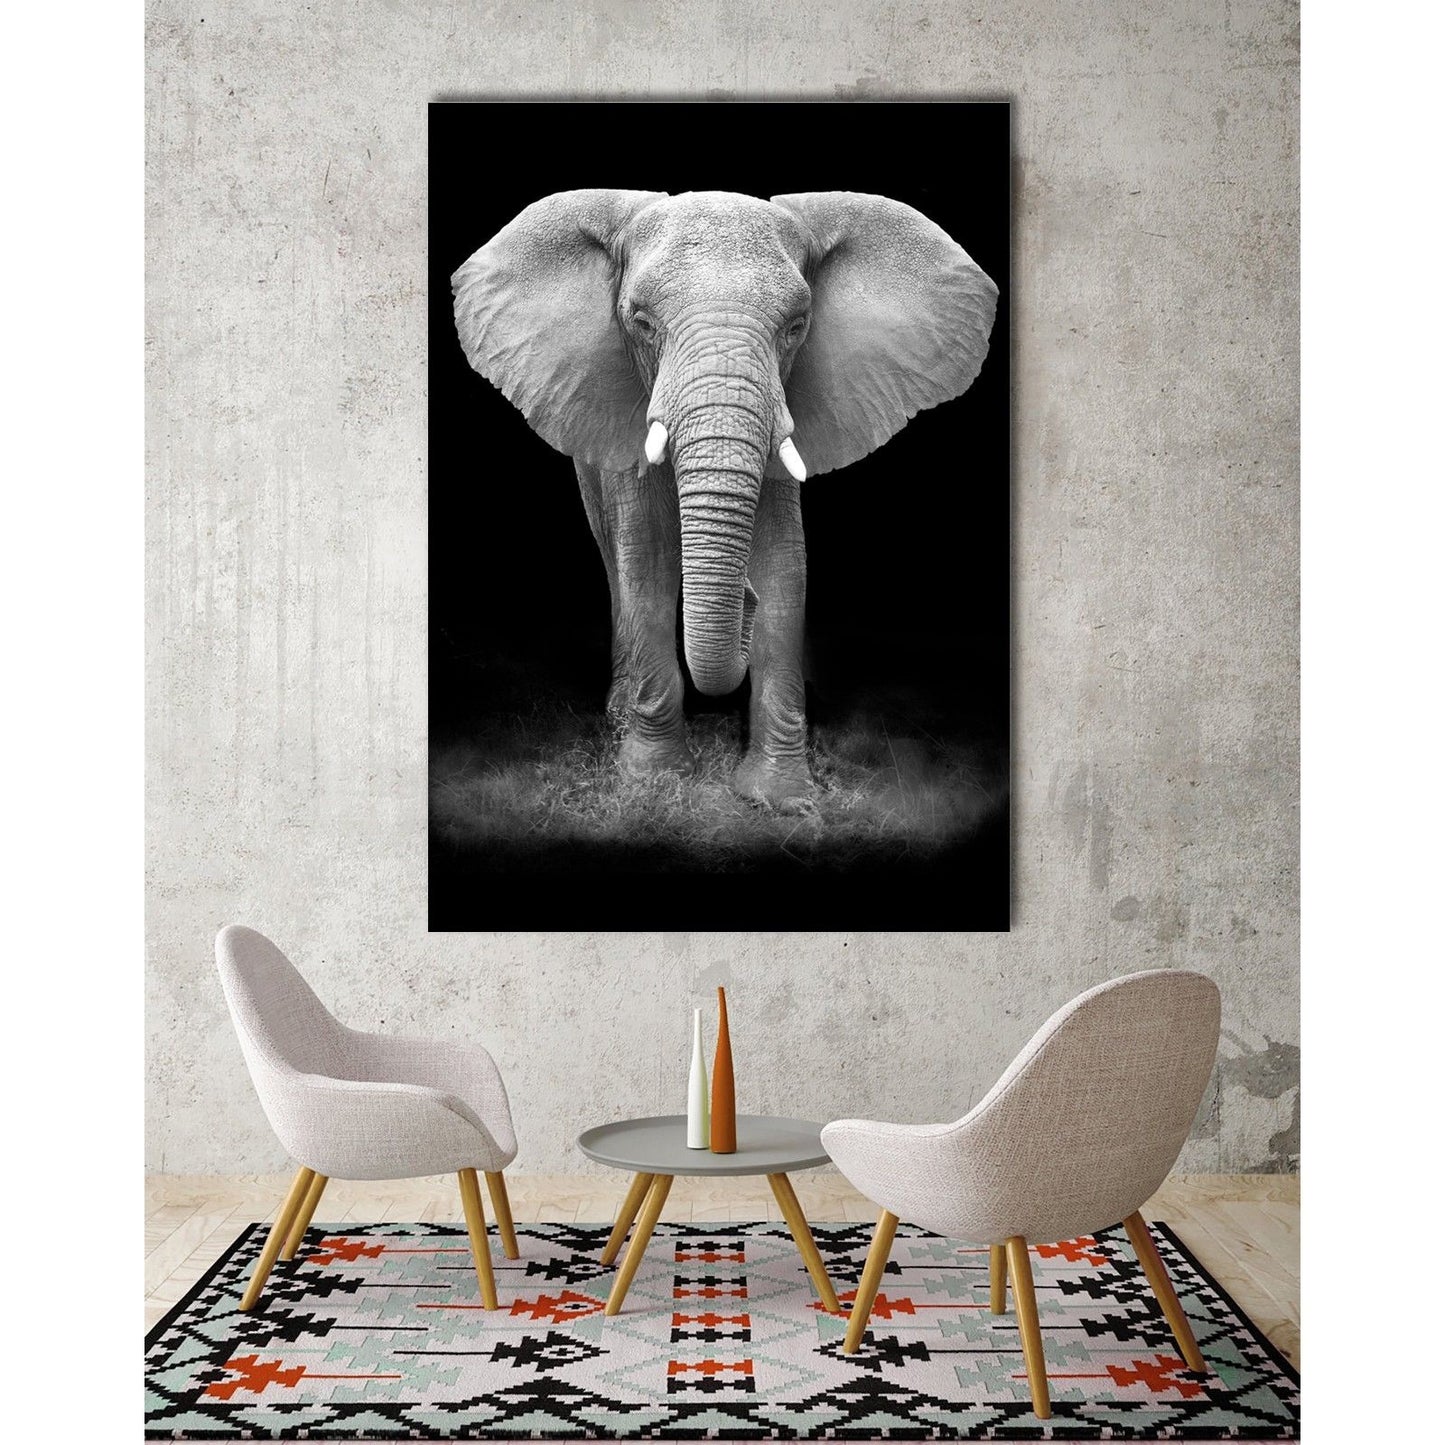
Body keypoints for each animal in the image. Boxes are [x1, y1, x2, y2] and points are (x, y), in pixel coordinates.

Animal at [451, 189, 997, 808]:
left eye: (796, 326)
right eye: (641, 323)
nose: (744, 600)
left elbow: (785, 567)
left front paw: (781, 798)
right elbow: (648, 563)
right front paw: (654, 781)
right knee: (615, 557)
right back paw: (618, 716)